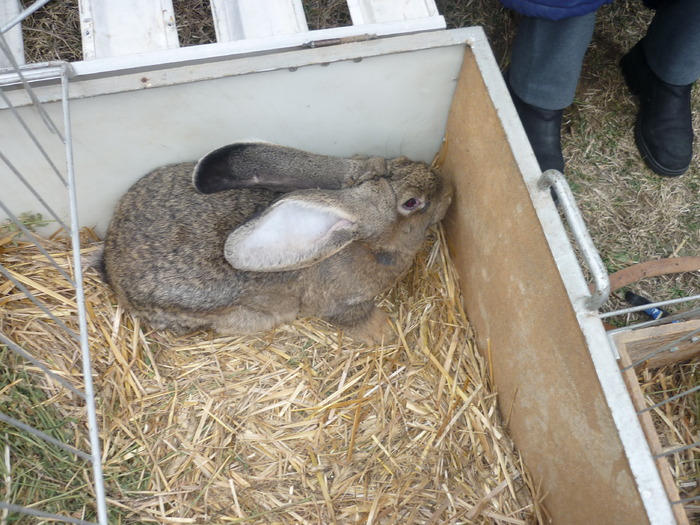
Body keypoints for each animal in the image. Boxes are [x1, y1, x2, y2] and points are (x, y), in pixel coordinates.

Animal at [101, 142, 453, 344]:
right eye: (412, 203)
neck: (366, 243)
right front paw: (386, 332)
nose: (449, 192)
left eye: (403, 160)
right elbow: (356, 319)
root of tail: (113, 270)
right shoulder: (345, 304)